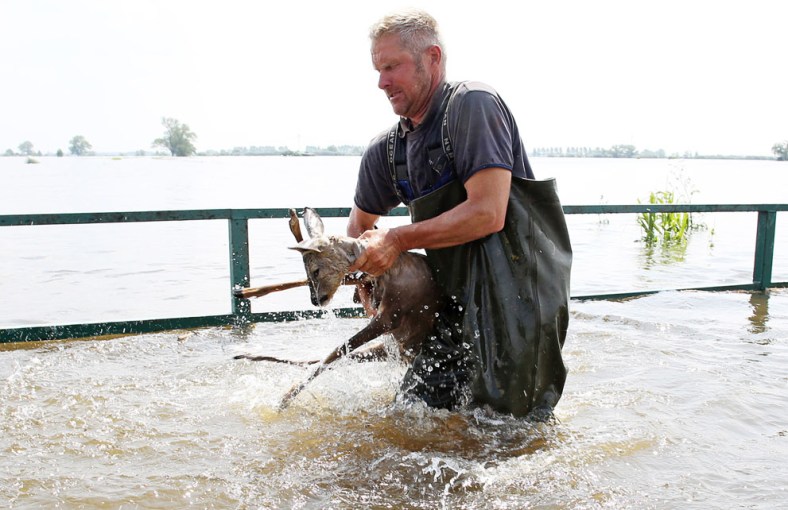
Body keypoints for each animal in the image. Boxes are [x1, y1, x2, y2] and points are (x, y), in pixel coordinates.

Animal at [234, 208, 444, 409]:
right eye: (310, 272)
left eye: (316, 271)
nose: (316, 300)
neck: (392, 269)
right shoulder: (366, 281)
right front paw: (245, 291)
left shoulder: (391, 315)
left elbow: (337, 349)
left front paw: (284, 399)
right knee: (320, 359)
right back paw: (244, 352)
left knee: (328, 359)